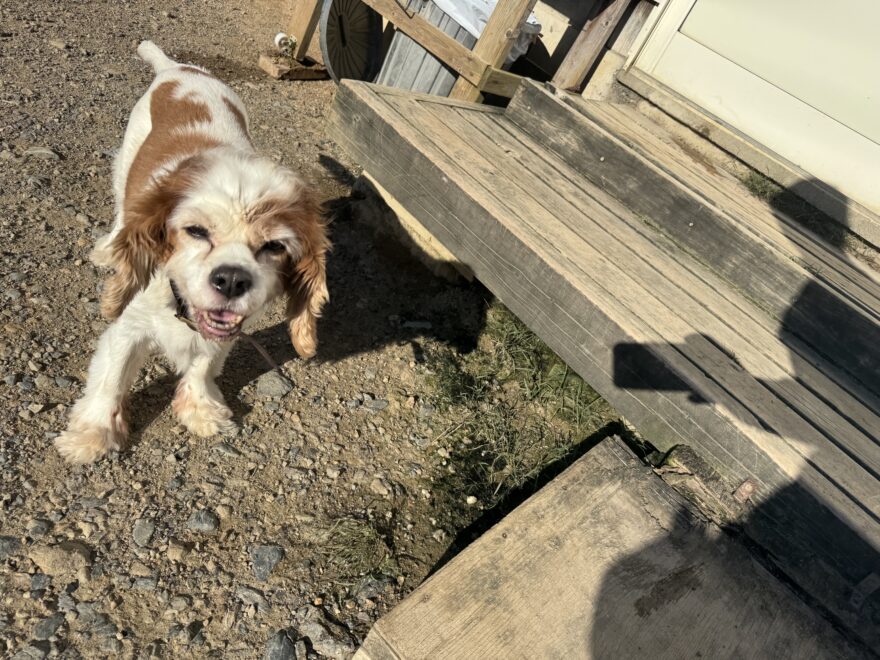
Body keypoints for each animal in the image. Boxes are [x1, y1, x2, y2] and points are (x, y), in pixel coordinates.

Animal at [55, 41, 329, 464]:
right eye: (196, 232)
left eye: (274, 246)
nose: (231, 279)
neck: (178, 301)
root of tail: (178, 68)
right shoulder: (129, 325)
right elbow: (111, 378)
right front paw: (92, 435)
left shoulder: (228, 328)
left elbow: (203, 366)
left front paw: (200, 410)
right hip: (126, 160)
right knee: (122, 209)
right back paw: (109, 246)